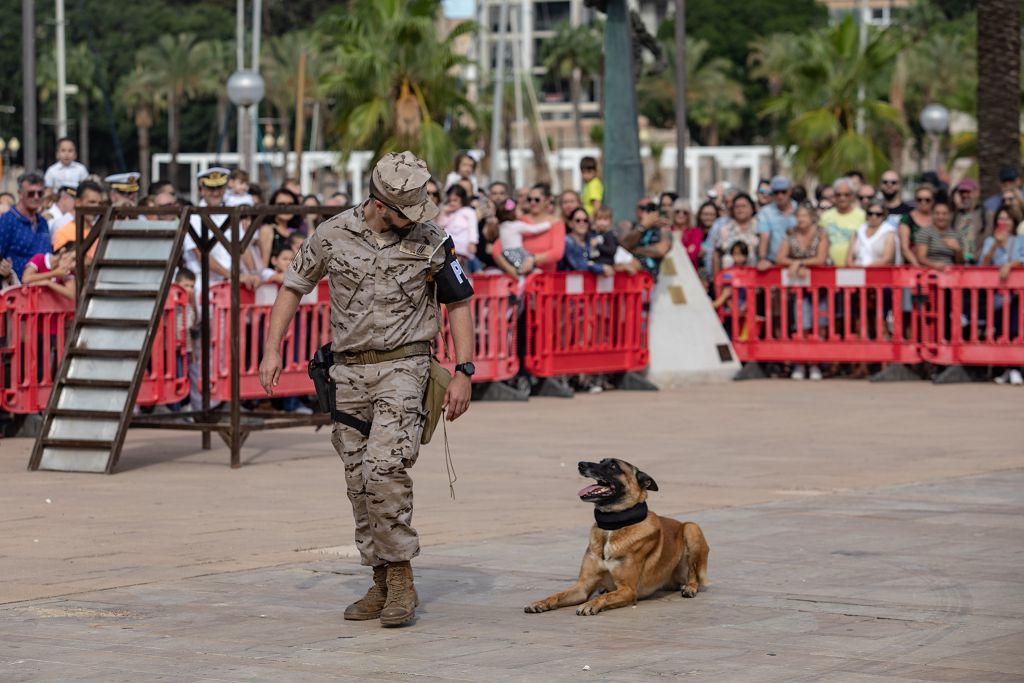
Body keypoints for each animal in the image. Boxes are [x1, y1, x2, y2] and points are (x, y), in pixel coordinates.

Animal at [524, 458, 708, 614]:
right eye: (600, 461)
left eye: (613, 466)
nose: (581, 464)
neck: (612, 527)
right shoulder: (583, 586)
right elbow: (558, 594)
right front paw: (541, 602)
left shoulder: (628, 590)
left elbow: (607, 597)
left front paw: (590, 604)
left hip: (692, 528)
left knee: (694, 574)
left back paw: (690, 588)